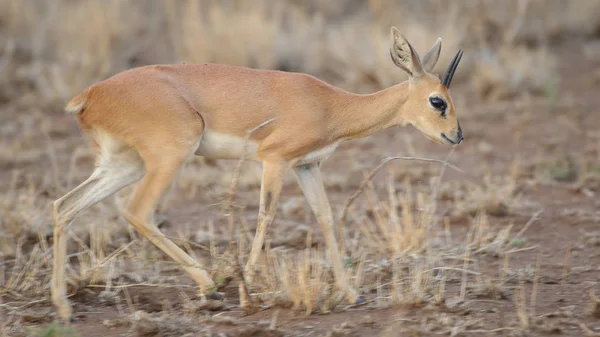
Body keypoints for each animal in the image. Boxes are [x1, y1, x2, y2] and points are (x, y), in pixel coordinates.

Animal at [51, 26, 464, 320]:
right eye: (437, 101)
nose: (457, 136)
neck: (331, 105)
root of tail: (91, 94)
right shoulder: (274, 160)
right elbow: (266, 216)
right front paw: (247, 292)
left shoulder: (307, 166)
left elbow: (326, 218)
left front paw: (352, 293)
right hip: (169, 157)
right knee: (137, 211)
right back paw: (209, 287)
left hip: (124, 165)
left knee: (64, 206)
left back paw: (64, 308)